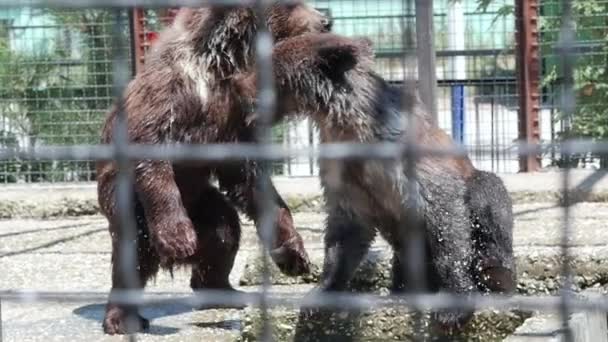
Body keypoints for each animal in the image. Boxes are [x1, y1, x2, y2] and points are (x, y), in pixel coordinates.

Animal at [97, 2, 330, 334]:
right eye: (292, 5)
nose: (326, 21)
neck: (220, 64)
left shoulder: (234, 116)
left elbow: (249, 181)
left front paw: (294, 254)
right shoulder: (167, 94)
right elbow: (150, 154)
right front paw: (178, 238)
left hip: (200, 202)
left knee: (223, 230)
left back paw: (223, 291)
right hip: (127, 201)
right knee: (133, 250)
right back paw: (122, 318)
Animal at [233, 32, 512, 334]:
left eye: (267, 69)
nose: (237, 85)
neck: (350, 126)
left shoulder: (413, 161)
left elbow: (445, 219)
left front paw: (454, 306)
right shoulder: (345, 174)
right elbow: (346, 233)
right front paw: (320, 293)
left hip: (476, 191)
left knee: (487, 193)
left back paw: (494, 273)